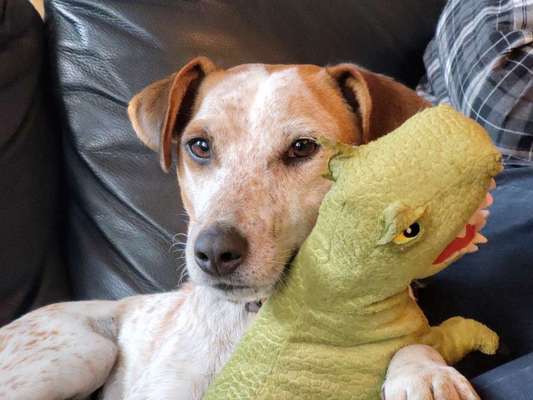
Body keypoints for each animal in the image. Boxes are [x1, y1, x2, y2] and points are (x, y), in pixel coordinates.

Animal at [0, 57, 480, 400]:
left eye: (302, 147)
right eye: (199, 146)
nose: (213, 252)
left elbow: (414, 343)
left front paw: (426, 372)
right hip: (84, 353)